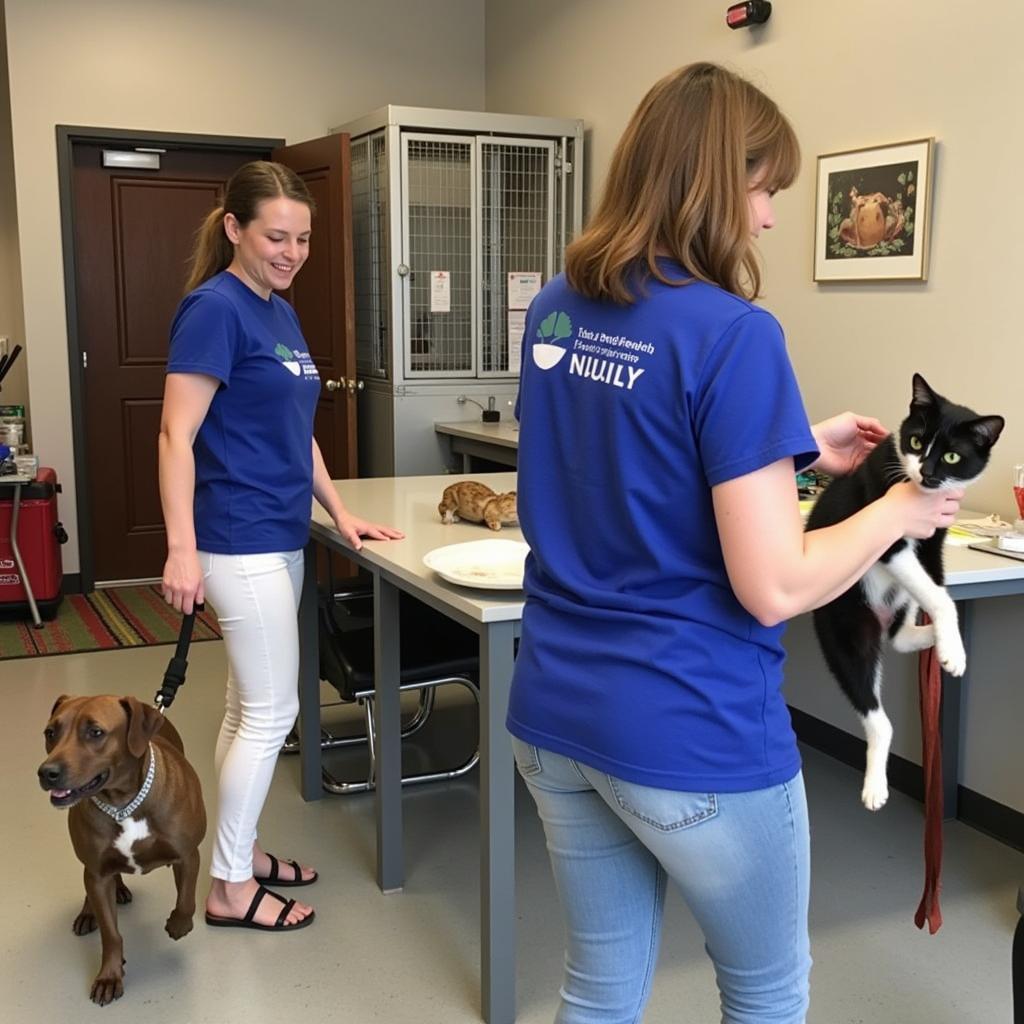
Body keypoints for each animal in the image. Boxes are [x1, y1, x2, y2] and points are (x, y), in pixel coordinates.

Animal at [37, 692, 205, 1003]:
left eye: (95, 732)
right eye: (50, 733)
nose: (46, 772)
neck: (123, 804)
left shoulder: (189, 854)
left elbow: (186, 900)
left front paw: (178, 925)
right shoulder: (98, 873)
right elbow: (110, 933)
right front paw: (109, 975)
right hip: (91, 869)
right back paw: (91, 909)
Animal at [802, 372, 1003, 811]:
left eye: (952, 457)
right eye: (916, 441)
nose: (926, 472)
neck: (921, 494)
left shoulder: (934, 540)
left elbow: (936, 587)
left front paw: (951, 647)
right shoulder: (889, 537)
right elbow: (941, 598)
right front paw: (951, 645)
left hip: (892, 609)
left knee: (898, 637)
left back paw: (926, 638)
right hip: (845, 625)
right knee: (874, 709)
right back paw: (876, 783)